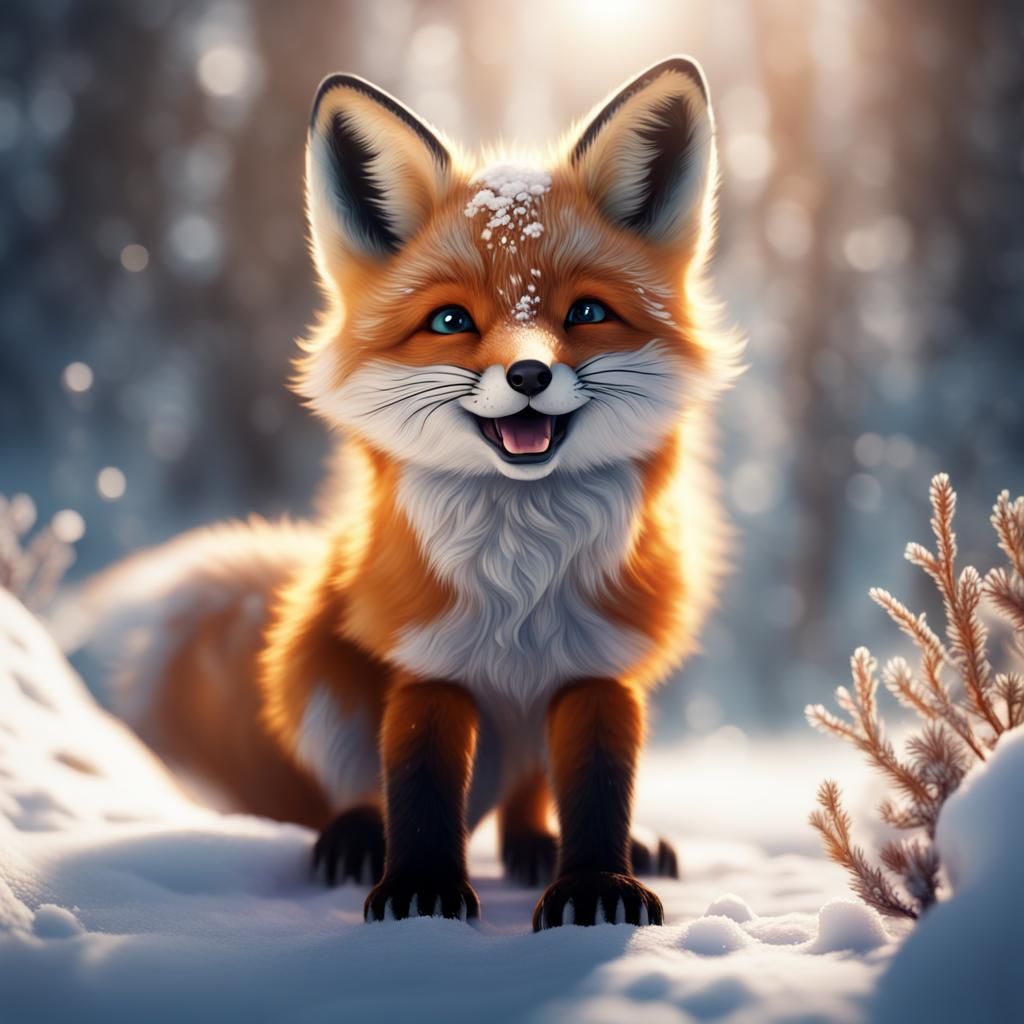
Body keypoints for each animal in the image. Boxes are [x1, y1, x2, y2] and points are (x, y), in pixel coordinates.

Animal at [79, 55, 741, 930]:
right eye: (452, 321)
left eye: (588, 312)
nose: (528, 375)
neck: (521, 578)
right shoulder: (427, 666)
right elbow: (420, 785)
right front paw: (421, 894)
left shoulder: (599, 669)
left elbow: (599, 787)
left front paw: (598, 885)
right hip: (312, 667)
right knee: (361, 789)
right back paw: (358, 840)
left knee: (529, 802)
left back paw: (546, 846)